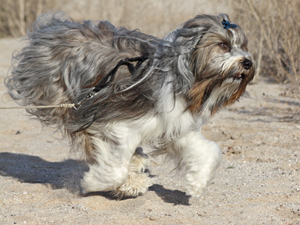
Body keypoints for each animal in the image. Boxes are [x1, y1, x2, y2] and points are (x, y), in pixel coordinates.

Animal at [5, 11, 254, 198]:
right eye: (223, 45)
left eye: (243, 45)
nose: (248, 62)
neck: (182, 76)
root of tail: (53, 28)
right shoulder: (114, 123)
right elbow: (114, 167)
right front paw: (94, 182)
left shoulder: (175, 125)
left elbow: (209, 150)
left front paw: (197, 183)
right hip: (70, 104)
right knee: (86, 139)